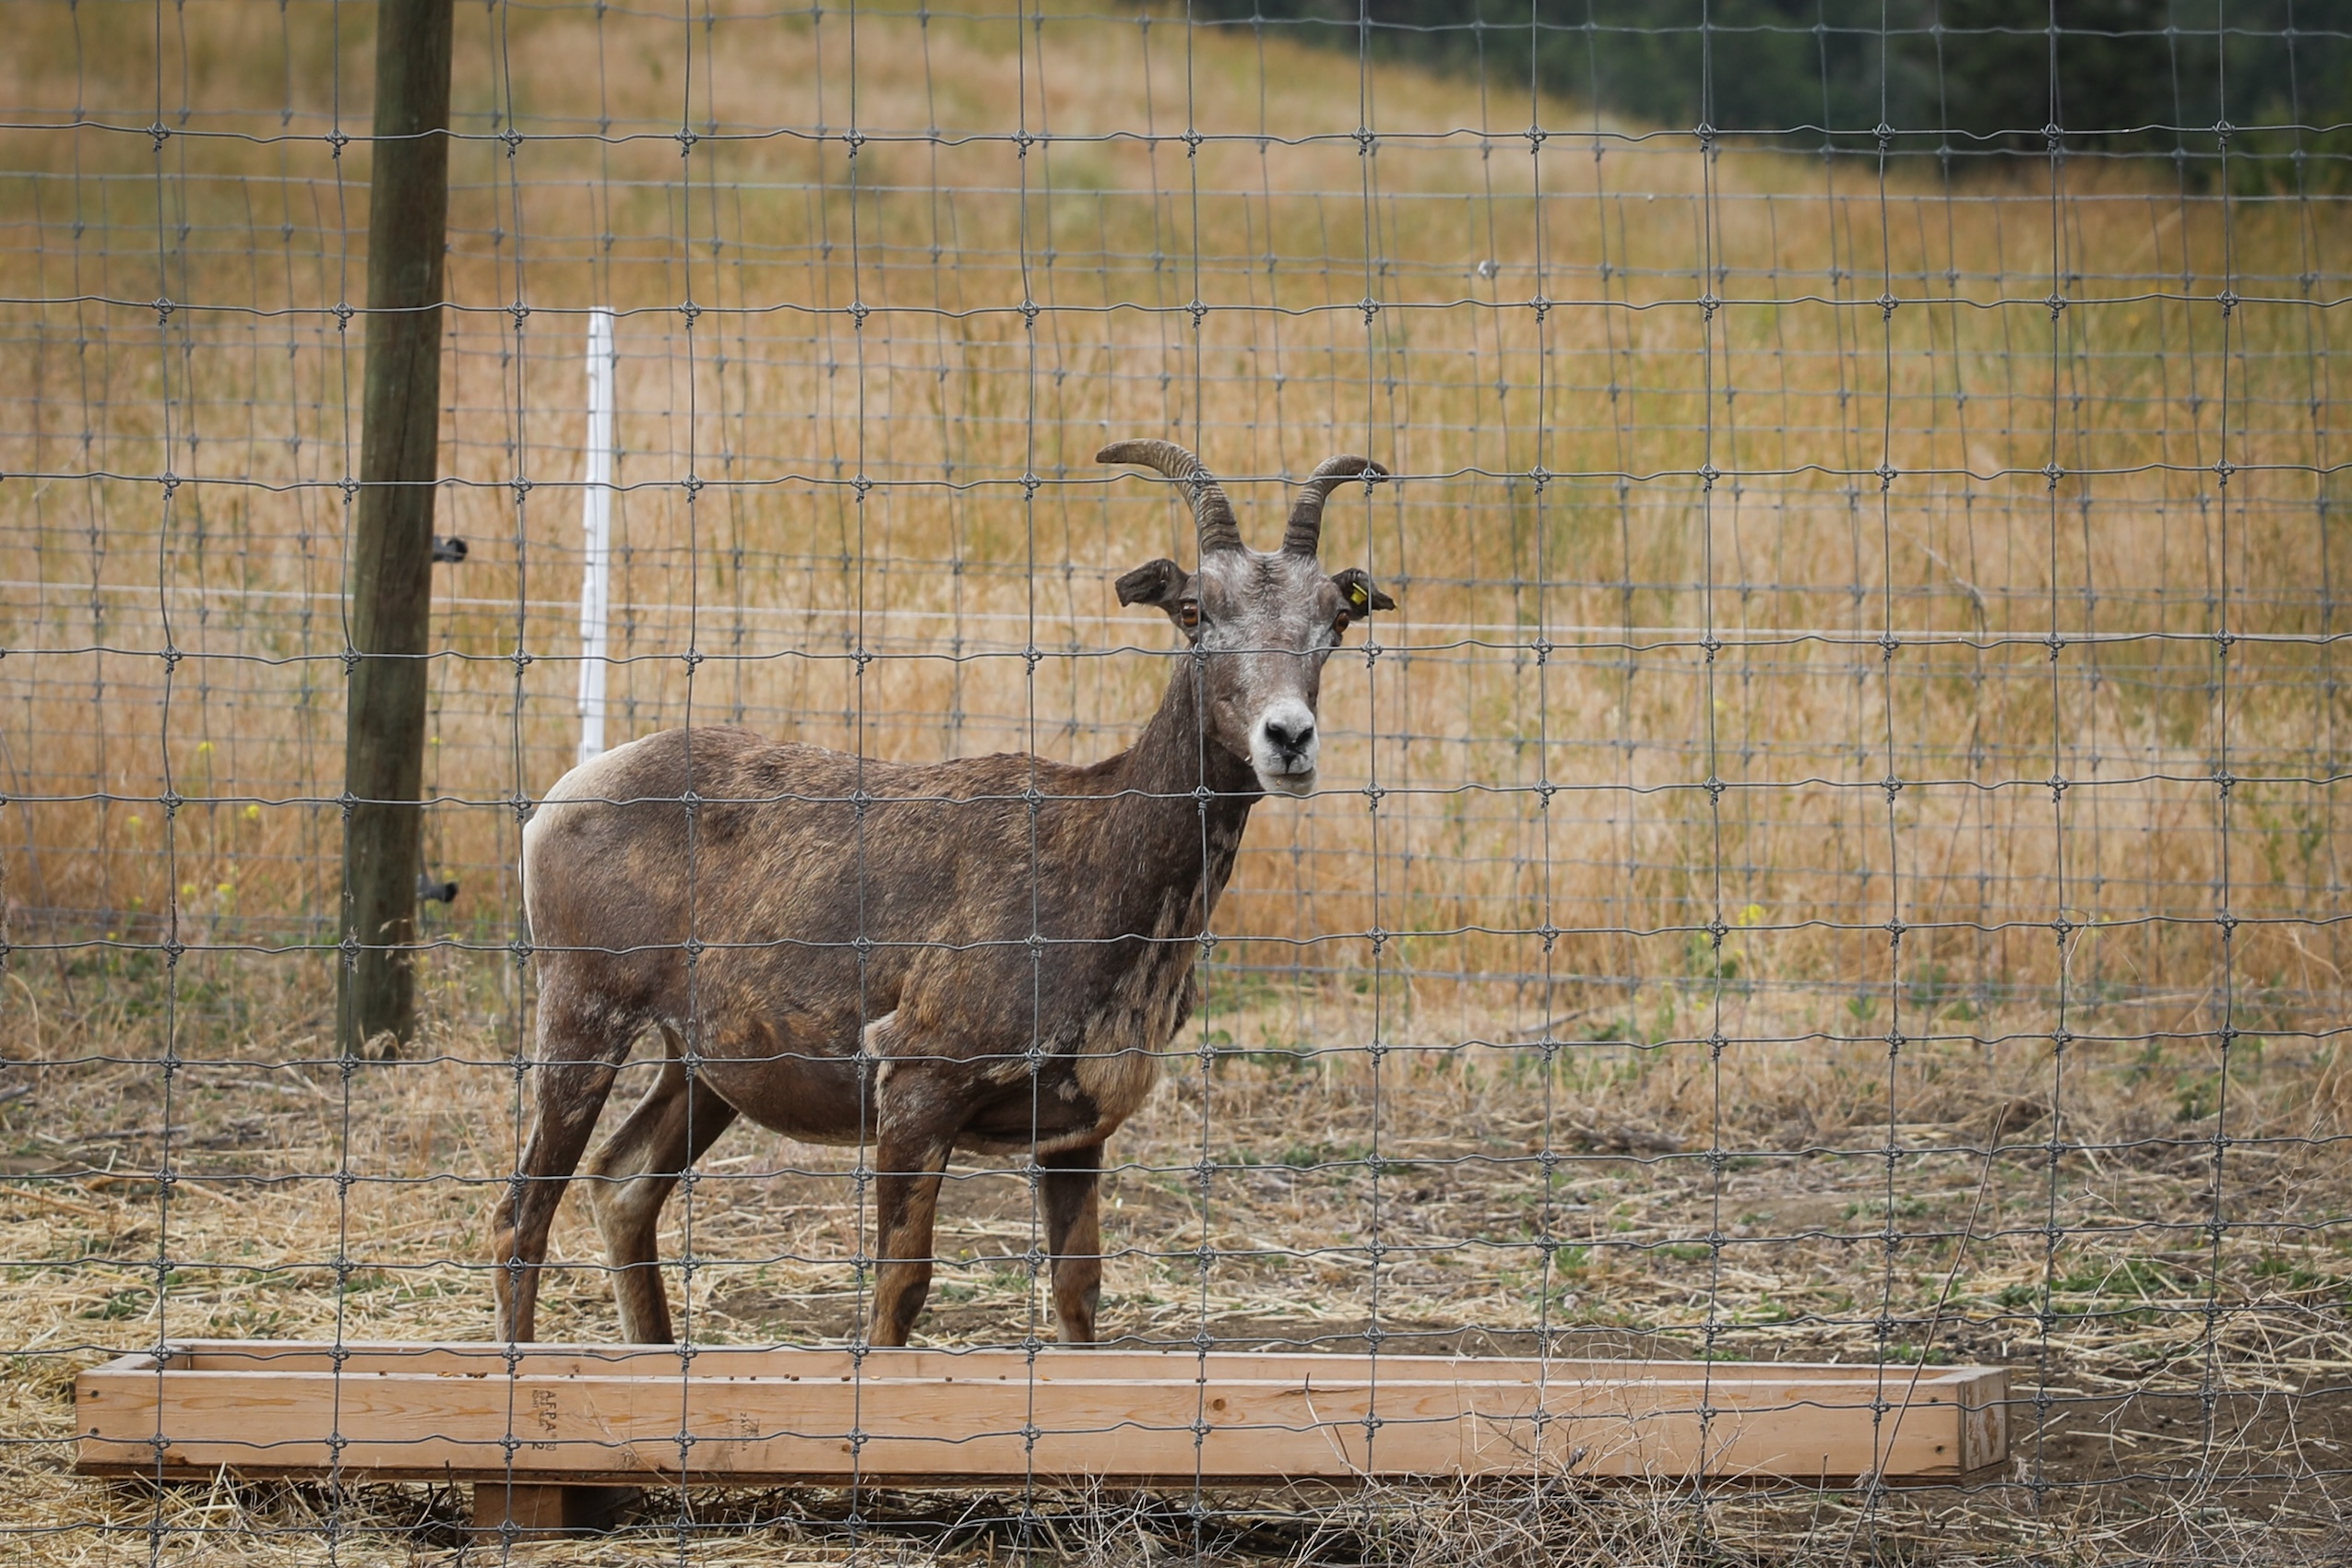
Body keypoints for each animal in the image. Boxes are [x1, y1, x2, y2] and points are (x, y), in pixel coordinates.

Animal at [493, 440, 1395, 1348]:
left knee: (621, 1185)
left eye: (1336, 619)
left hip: (698, 1066)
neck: (1096, 877)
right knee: (520, 1219)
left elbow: (1078, 1293)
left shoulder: (1074, 1133)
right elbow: (900, 1291)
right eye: (1192, 611)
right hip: (582, 1018)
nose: (1288, 739)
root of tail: (561, 800)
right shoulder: (919, 1088)